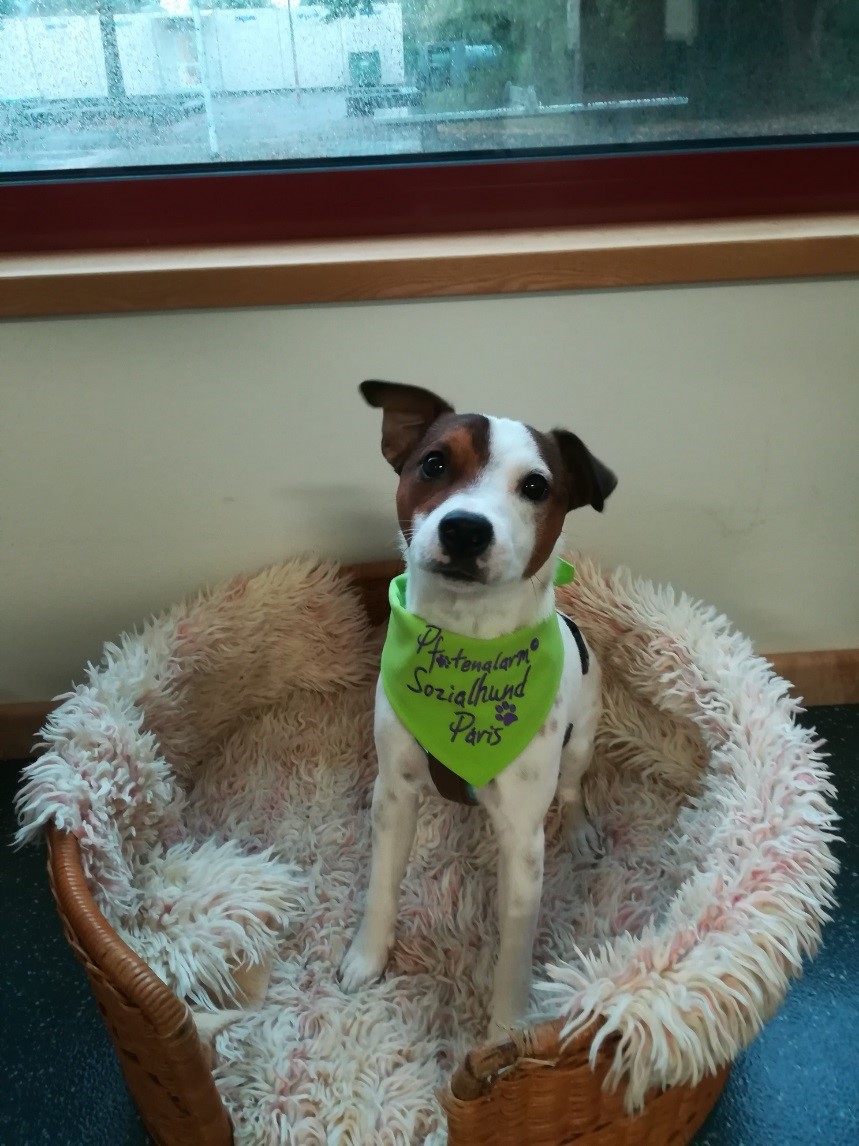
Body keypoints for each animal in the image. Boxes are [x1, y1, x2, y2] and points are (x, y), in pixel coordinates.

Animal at [340, 381, 617, 1039]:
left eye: (536, 486)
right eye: (434, 464)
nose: (465, 529)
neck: (465, 643)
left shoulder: (522, 838)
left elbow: (515, 947)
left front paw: (507, 1034)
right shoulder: (395, 795)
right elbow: (381, 886)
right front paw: (369, 954)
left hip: (583, 740)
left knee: (573, 787)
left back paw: (580, 826)